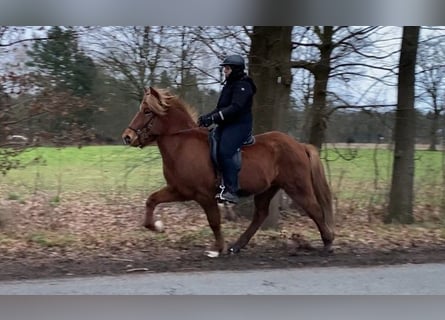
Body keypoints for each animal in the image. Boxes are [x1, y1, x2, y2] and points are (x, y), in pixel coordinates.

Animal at [121, 87, 332, 258]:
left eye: (147, 111)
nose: (127, 137)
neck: (182, 144)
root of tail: (299, 145)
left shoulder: (204, 195)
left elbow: (214, 221)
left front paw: (216, 249)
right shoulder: (178, 191)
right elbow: (151, 200)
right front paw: (157, 226)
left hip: (297, 187)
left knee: (314, 209)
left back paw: (328, 243)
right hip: (267, 189)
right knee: (260, 215)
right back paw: (237, 246)